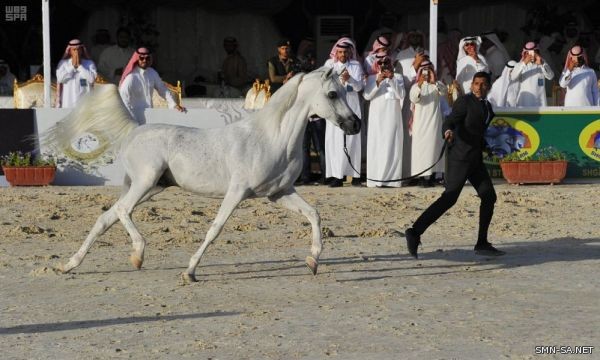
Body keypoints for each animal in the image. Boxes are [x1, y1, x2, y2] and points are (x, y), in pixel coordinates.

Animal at [47, 67, 360, 282]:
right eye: (333, 94)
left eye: (346, 92)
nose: (355, 124)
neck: (272, 137)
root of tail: (136, 129)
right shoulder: (236, 192)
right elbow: (215, 229)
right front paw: (190, 272)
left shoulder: (279, 193)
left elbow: (314, 214)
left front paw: (313, 260)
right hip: (145, 183)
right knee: (123, 211)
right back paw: (137, 254)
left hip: (150, 187)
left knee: (105, 218)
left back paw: (69, 265)